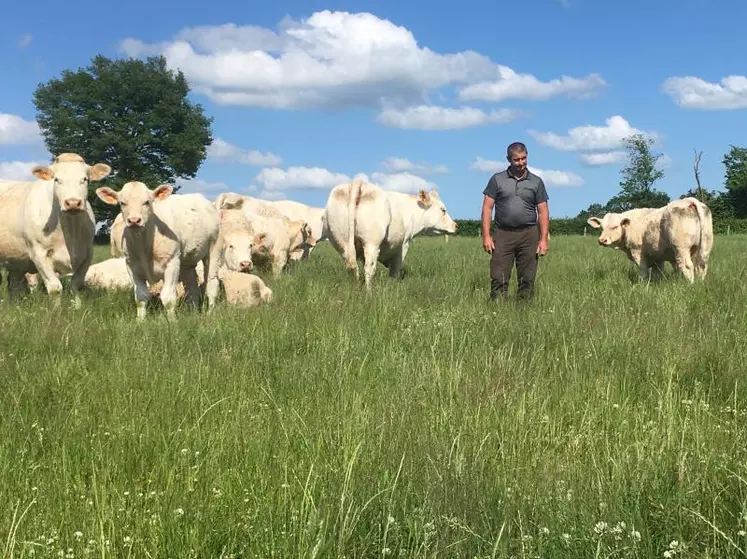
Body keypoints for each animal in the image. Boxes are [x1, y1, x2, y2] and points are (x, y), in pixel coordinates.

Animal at [0, 153, 112, 306]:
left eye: (85, 179)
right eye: (57, 179)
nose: (73, 203)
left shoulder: (87, 253)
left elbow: (77, 284)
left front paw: (78, 308)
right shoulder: (39, 253)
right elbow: (55, 288)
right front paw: (56, 310)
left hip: (16, 259)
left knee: (14, 285)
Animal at [95, 183, 222, 320]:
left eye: (147, 202)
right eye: (122, 203)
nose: (134, 220)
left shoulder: (172, 263)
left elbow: (168, 298)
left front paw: (172, 321)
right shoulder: (131, 265)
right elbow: (140, 297)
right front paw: (140, 320)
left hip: (213, 250)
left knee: (212, 283)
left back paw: (210, 313)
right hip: (187, 262)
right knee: (192, 287)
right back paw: (192, 312)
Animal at [324, 179, 458, 290]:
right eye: (443, 210)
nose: (456, 225)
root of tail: (359, 182)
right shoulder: (403, 245)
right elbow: (396, 269)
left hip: (343, 243)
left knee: (352, 267)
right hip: (371, 243)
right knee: (369, 268)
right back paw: (369, 292)